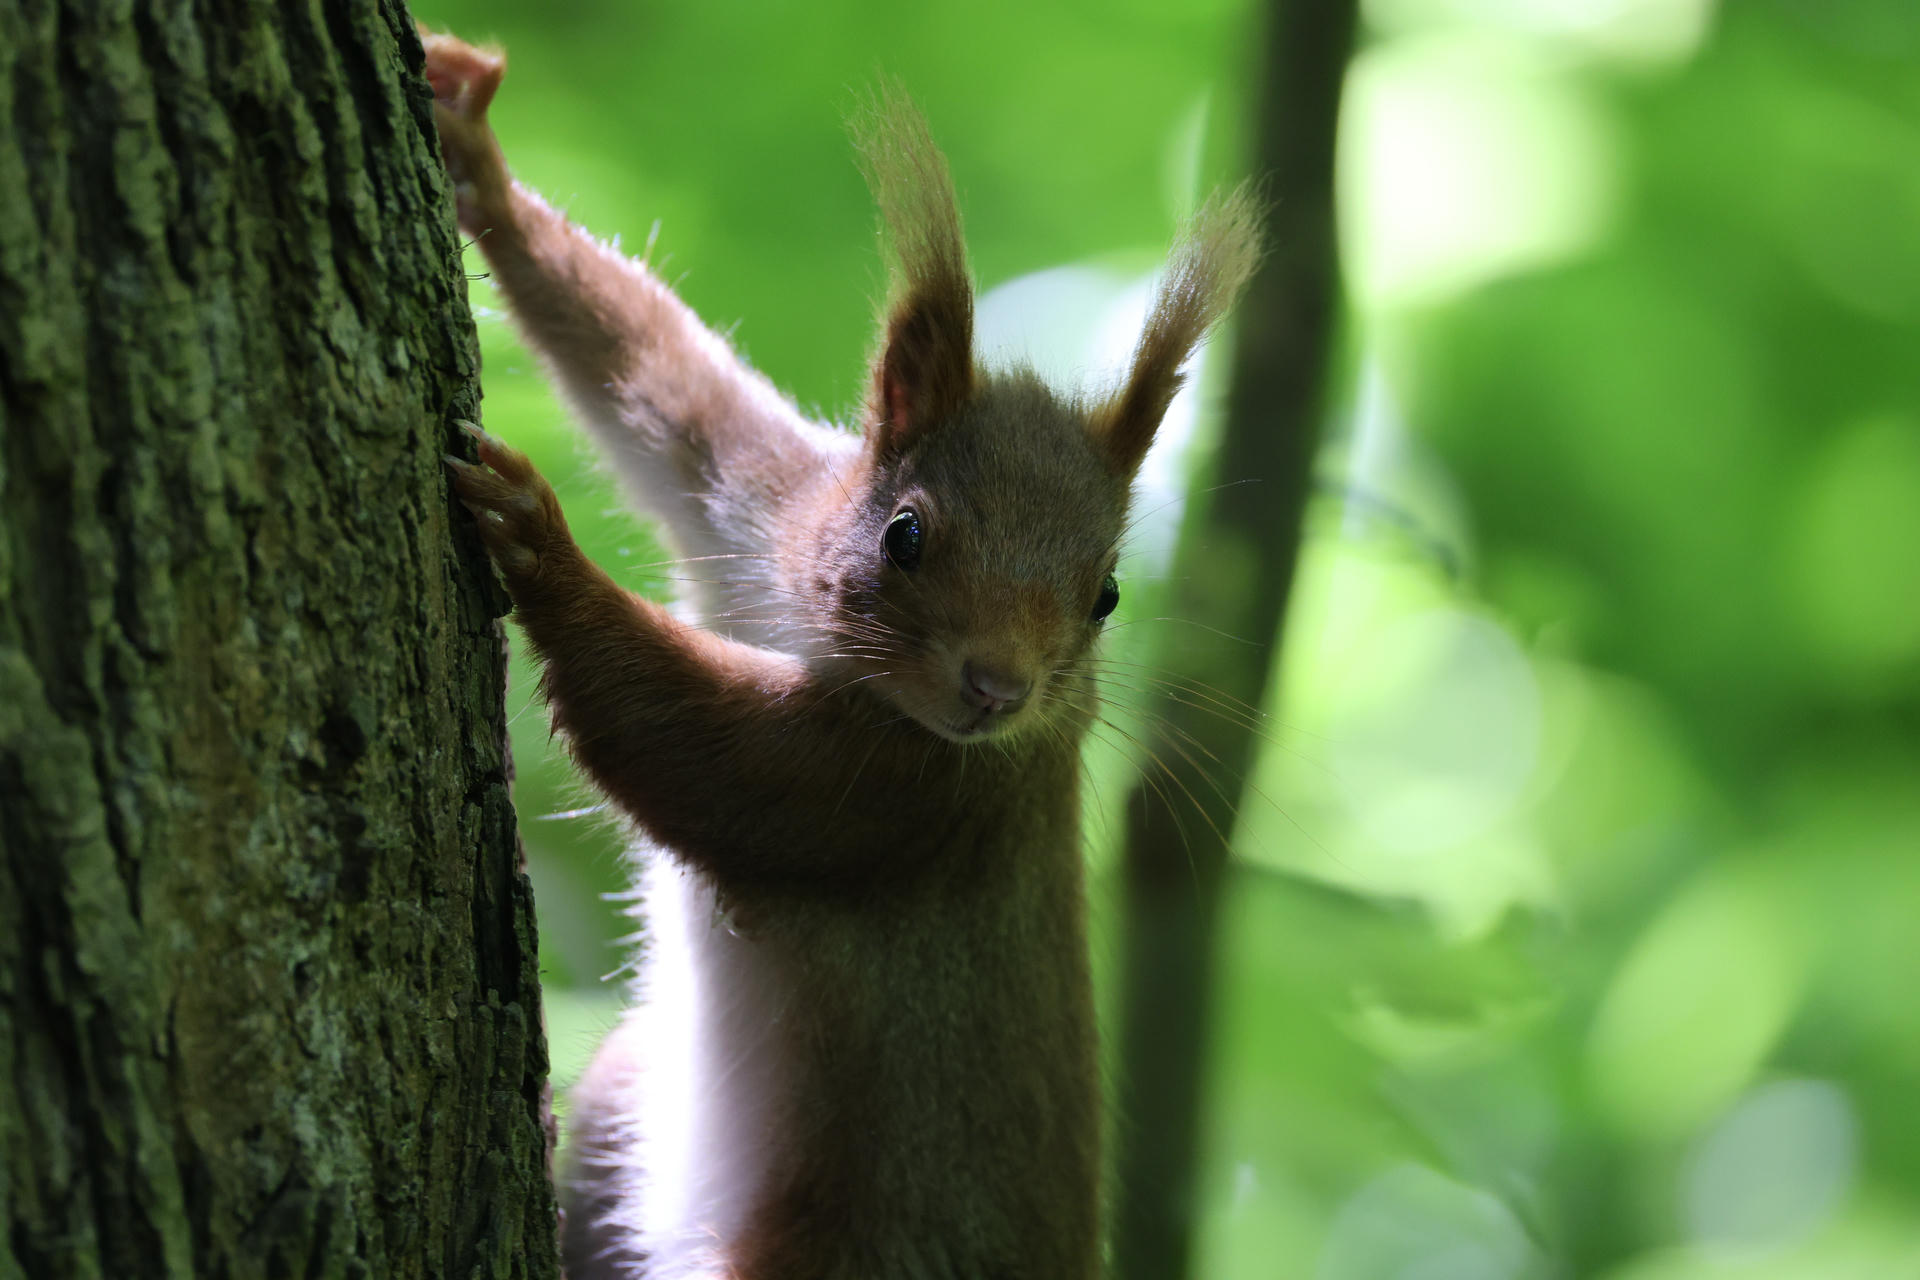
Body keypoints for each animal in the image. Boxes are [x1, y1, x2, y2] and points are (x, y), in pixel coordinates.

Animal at [422, 28, 1260, 1280]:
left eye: (1107, 594)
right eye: (902, 532)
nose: (997, 688)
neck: (822, 639)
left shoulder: (913, 795)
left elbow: (700, 751)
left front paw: (541, 546)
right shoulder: (762, 502)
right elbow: (655, 373)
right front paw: (473, 146)